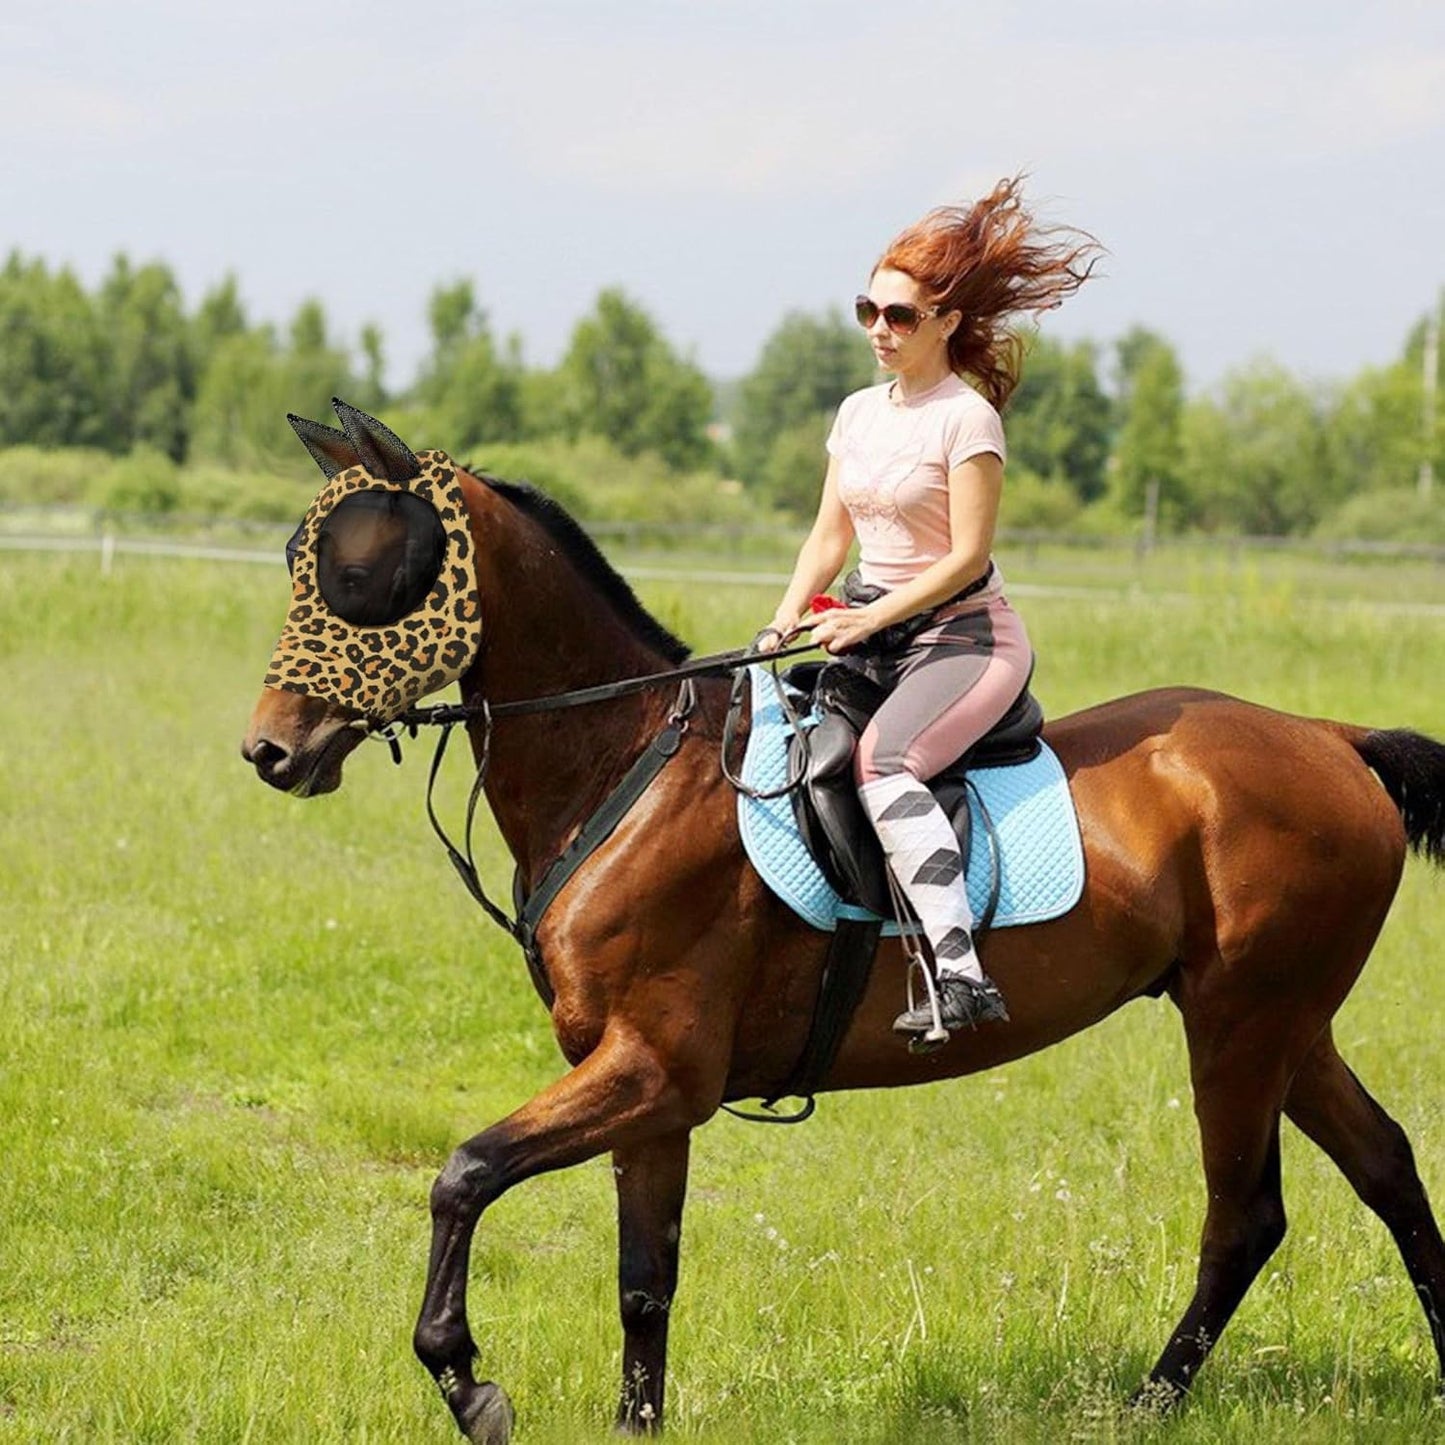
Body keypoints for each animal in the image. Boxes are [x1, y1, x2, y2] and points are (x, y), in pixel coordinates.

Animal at [243, 402, 1445, 1445]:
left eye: (359, 576)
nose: (268, 750)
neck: (625, 763)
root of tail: (1330, 738)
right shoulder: (643, 1087)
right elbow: (644, 1278)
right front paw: (631, 1421)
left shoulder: (655, 1069)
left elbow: (464, 1173)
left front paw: (466, 1379)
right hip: (1285, 1025)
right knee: (1384, 1164)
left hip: (1240, 1026)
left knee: (1243, 1215)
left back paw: (1145, 1405)